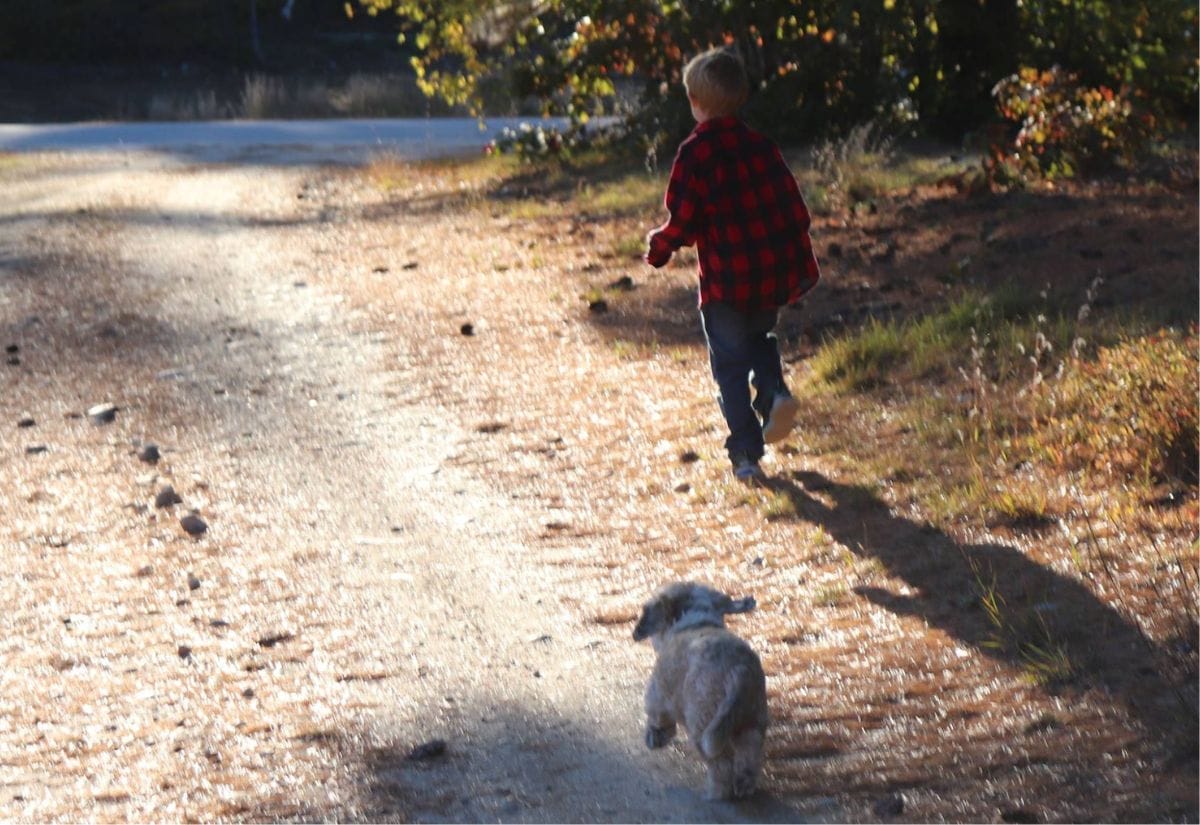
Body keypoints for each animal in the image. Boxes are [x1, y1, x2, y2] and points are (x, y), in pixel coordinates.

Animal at [628, 580, 768, 801]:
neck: (697, 620)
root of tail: (739, 669)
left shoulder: (657, 693)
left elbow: (657, 717)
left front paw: (655, 735)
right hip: (752, 723)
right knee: (749, 758)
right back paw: (744, 786)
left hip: (703, 728)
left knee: (721, 767)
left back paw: (714, 794)